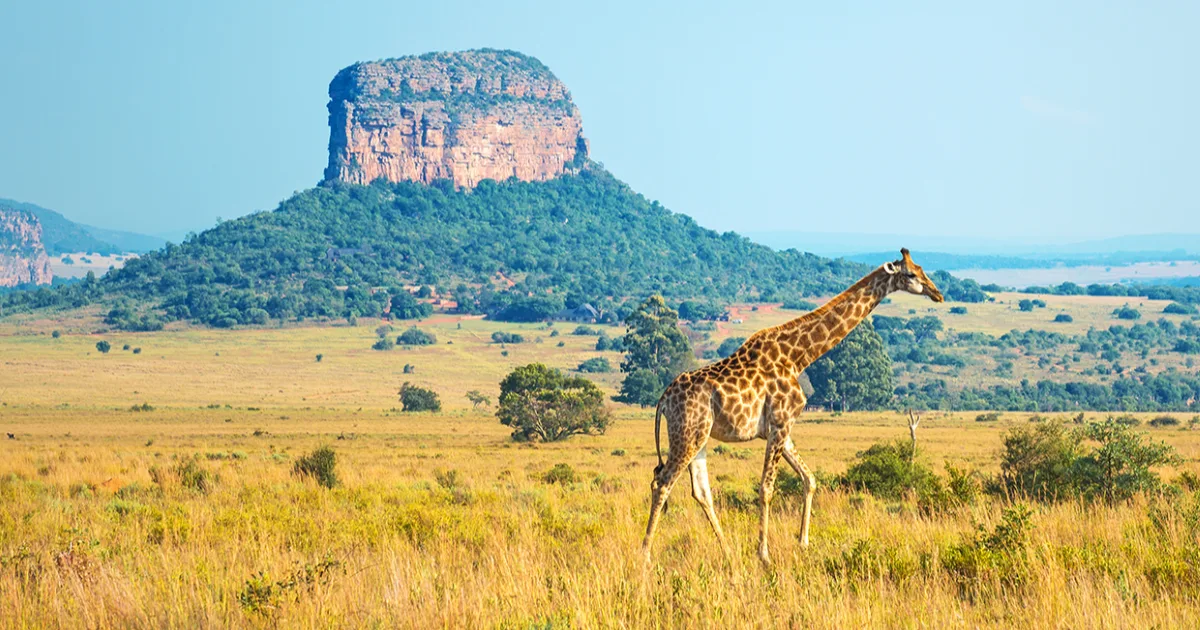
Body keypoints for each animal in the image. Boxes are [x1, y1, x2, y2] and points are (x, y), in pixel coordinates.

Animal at [641, 248, 944, 565]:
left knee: (700, 491)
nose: (937, 293)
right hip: (687, 434)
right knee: (662, 483)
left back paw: (728, 551)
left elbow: (809, 479)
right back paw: (646, 554)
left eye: (922, 269)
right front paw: (764, 554)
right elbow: (766, 488)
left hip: (699, 436)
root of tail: (664, 399)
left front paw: (803, 542)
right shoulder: (780, 423)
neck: (798, 357)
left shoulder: (782, 429)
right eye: (910, 274)